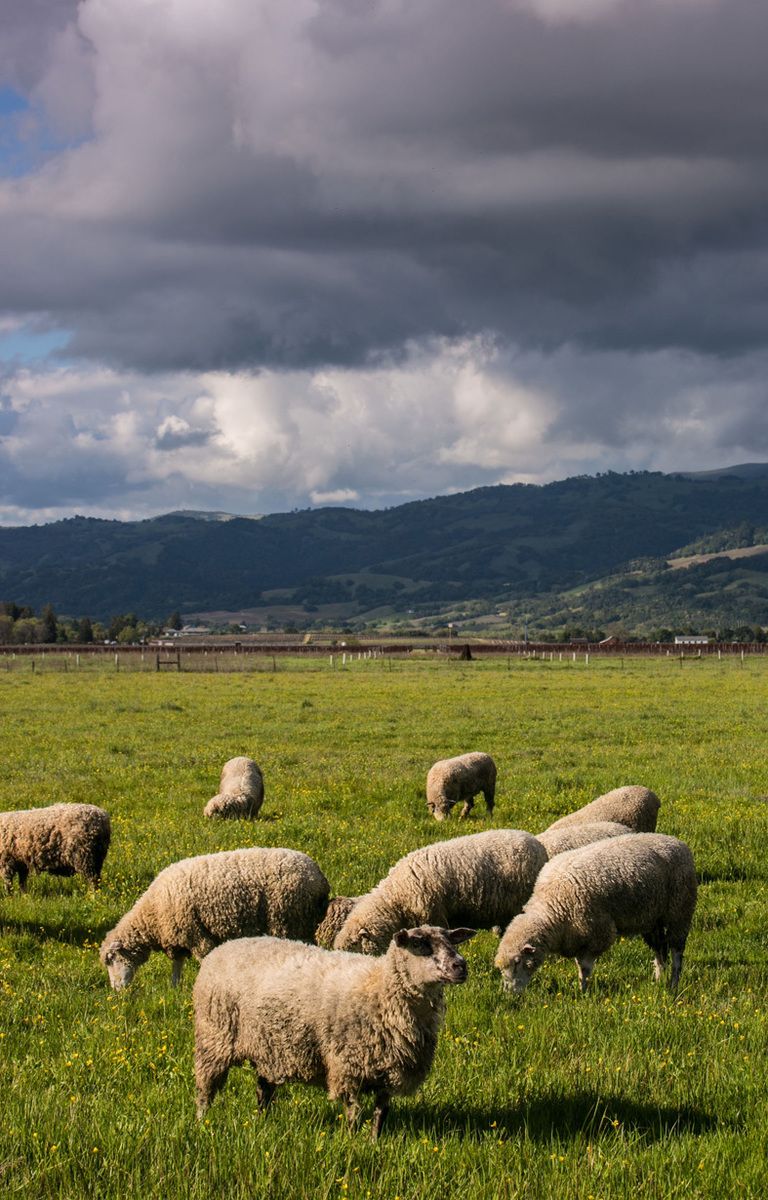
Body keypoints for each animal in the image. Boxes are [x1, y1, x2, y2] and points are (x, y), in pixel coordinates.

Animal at [99, 844, 331, 984]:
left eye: (111, 959)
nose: (117, 990)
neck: (152, 912)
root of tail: (319, 877)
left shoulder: (196, 935)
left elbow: (204, 959)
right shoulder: (179, 939)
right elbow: (176, 968)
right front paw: (175, 989)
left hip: (289, 920)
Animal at [193, 921, 475, 1137]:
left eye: (452, 943)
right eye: (421, 945)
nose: (460, 965)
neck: (380, 990)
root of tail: (225, 946)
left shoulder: (389, 1069)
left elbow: (381, 1113)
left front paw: (375, 1142)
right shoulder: (348, 1065)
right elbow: (353, 1111)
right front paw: (351, 1141)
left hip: (269, 1045)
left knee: (264, 1089)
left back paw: (262, 1120)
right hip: (214, 1037)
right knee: (205, 1088)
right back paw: (202, 1122)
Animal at [494, 835, 700, 993]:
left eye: (518, 962)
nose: (508, 994)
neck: (552, 908)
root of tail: (677, 843)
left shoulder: (597, 934)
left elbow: (584, 967)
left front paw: (583, 992)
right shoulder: (577, 937)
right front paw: (581, 988)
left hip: (680, 910)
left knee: (676, 952)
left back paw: (673, 984)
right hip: (652, 918)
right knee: (660, 950)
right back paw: (658, 979)